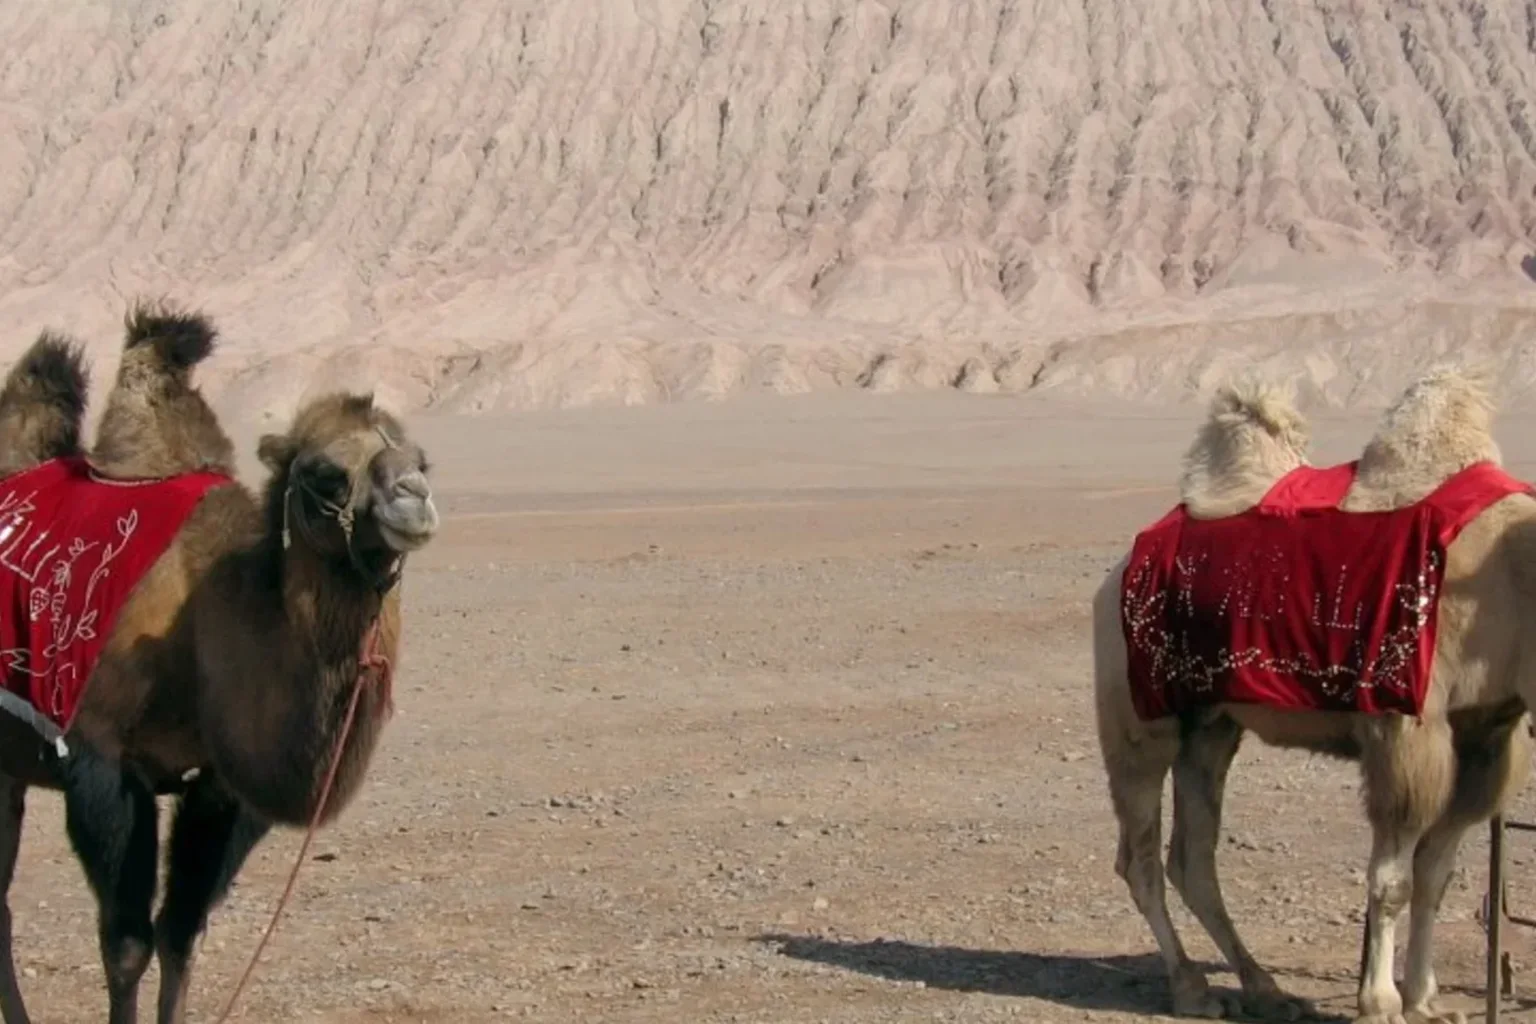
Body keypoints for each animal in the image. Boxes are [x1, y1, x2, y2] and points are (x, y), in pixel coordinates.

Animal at [0, 301, 439, 1024]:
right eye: (324, 473)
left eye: (421, 459)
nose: (414, 499)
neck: (204, 622)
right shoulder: (101, 759)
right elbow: (126, 945)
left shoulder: (221, 787)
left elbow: (181, 935)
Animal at [1095, 368, 1534, 1024]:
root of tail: (1122, 566)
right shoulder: (1406, 725)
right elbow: (1394, 881)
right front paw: (1381, 1001)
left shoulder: (1484, 734)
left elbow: (1435, 875)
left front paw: (1425, 1000)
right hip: (1141, 717)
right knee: (1142, 856)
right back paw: (1192, 987)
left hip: (1211, 725)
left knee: (1192, 858)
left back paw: (1263, 986)